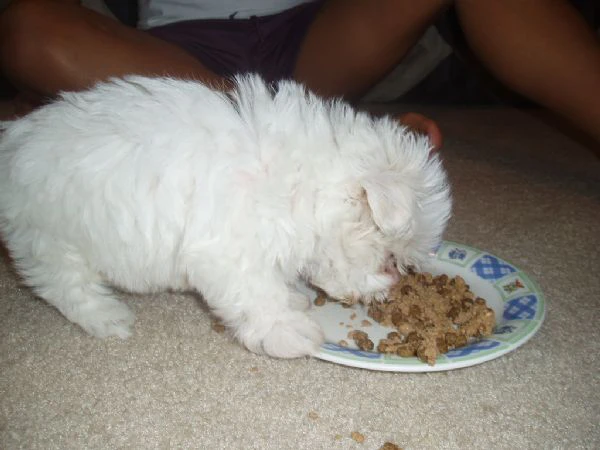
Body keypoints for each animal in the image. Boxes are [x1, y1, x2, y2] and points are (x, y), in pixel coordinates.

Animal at [0, 76, 450, 358]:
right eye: (391, 260)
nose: (392, 288)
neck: (302, 181)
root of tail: (13, 141)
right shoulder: (231, 250)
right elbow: (258, 294)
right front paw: (288, 332)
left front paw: (294, 297)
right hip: (49, 235)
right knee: (64, 284)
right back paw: (107, 318)